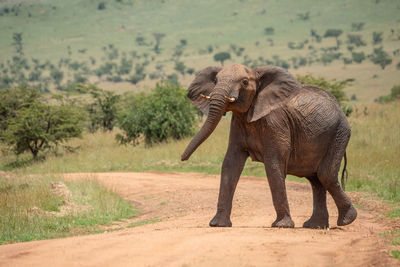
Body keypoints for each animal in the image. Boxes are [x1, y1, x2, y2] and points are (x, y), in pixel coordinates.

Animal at [180, 63, 356, 229]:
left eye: (245, 82)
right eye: (215, 81)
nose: (182, 158)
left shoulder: (276, 122)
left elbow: (273, 165)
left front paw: (282, 225)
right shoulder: (237, 124)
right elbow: (230, 164)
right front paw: (218, 224)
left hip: (340, 133)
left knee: (325, 175)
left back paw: (347, 220)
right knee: (316, 180)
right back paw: (316, 226)